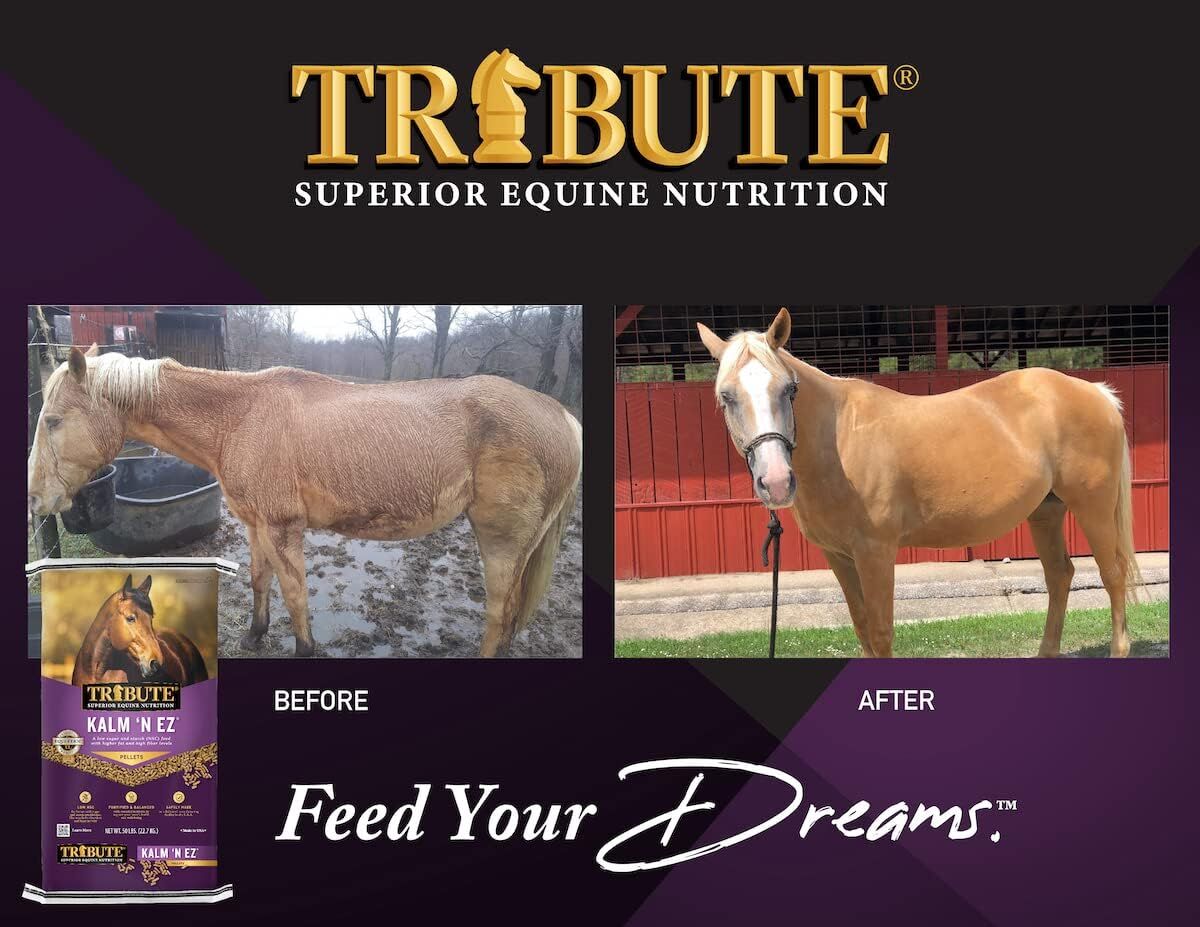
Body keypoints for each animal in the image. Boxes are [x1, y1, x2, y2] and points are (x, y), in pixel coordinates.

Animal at [30, 347, 582, 658]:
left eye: (53, 420)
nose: (37, 499)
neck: (240, 417)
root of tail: (561, 416)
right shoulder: (255, 526)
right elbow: (260, 581)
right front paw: (255, 635)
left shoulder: (282, 529)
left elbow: (295, 594)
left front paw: (304, 649)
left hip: (501, 541)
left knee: (498, 611)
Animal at [697, 307, 1143, 658]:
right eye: (726, 396)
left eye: (789, 389)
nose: (775, 481)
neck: (839, 441)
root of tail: (1096, 392)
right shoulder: (838, 556)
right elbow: (862, 629)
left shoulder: (875, 552)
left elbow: (880, 633)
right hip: (1045, 512)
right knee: (1059, 576)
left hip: (1093, 508)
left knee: (1112, 576)